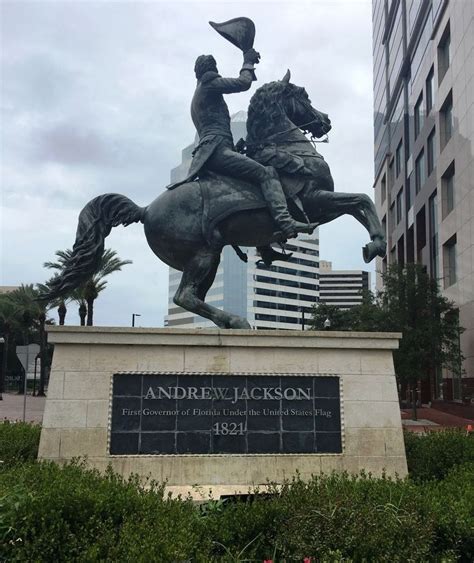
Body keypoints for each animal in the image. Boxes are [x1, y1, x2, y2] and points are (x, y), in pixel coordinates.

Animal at [43, 70, 386, 328]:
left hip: (210, 254)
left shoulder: (319, 204)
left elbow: (360, 204)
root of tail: (146, 209)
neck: (289, 148)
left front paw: (374, 245)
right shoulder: (316, 202)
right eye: (304, 95)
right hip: (202, 254)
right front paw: (376, 245)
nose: (325, 120)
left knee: (193, 296)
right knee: (185, 296)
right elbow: (361, 201)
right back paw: (237, 321)